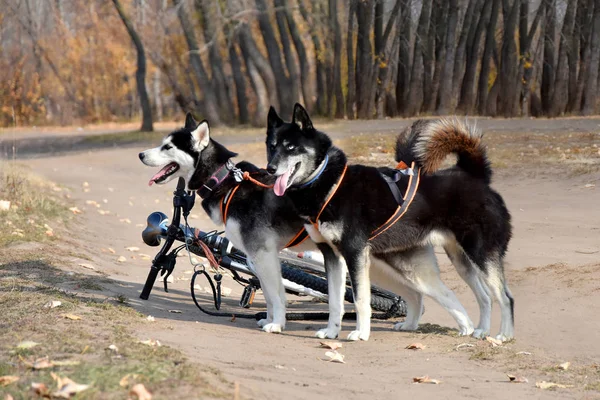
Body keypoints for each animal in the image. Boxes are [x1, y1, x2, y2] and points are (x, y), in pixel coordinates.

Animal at [268, 104, 516, 342]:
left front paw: (361, 333)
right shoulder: (332, 256)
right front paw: (331, 332)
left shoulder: (354, 253)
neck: (329, 183)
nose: (270, 168)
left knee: (505, 297)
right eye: (271, 146)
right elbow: (335, 302)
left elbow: (360, 299)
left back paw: (504, 335)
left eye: (290, 147)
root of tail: (475, 176)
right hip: (460, 260)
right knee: (484, 296)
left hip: (481, 255)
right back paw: (481, 330)